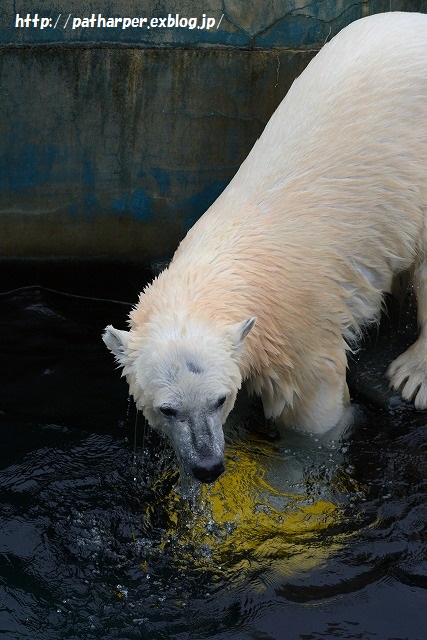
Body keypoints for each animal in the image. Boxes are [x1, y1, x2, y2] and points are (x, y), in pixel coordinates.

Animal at [104, 12, 427, 482]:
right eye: (167, 409)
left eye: (217, 399)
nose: (207, 467)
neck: (225, 263)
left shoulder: (301, 334)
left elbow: (312, 415)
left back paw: (412, 373)